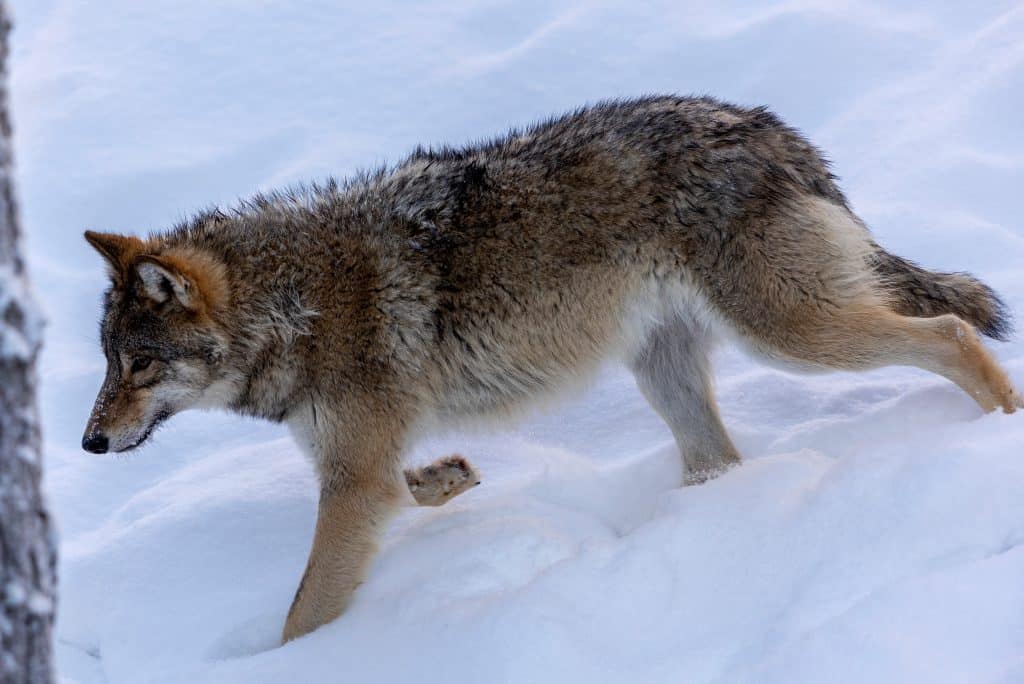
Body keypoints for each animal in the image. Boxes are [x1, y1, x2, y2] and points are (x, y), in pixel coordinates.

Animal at [83, 94, 1019, 643]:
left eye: (140, 364)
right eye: (107, 362)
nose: (90, 443)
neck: (294, 306)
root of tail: (768, 126)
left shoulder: (350, 478)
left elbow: (305, 614)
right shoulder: (361, 466)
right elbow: (411, 487)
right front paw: (450, 479)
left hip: (789, 334)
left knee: (949, 332)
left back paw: (1001, 432)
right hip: (672, 374)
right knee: (721, 461)